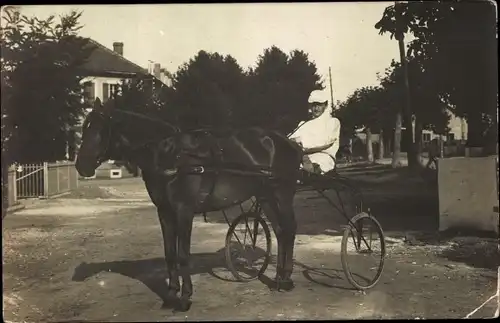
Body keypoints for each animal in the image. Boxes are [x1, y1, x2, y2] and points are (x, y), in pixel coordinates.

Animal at [73, 100, 300, 312]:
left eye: (100, 130)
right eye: (85, 128)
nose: (81, 166)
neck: (171, 155)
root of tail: (287, 142)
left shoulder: (184, 211)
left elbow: (183, 256)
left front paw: (184, 298)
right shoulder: (164, 211)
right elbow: (170, 254)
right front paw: (170, 294)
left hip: (282, 195)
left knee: (289, 231)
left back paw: (286, 280)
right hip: (265, 196)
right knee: (280, 232)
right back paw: (278, 278)